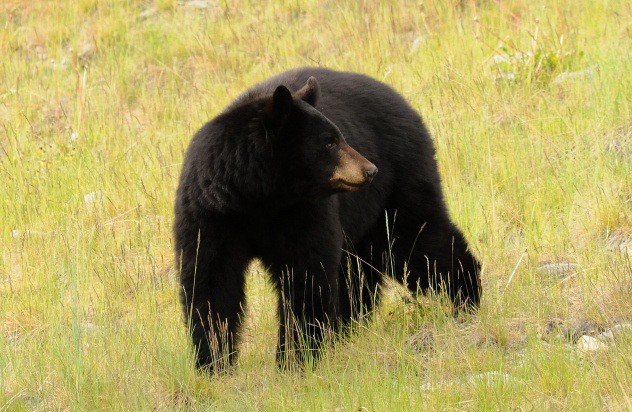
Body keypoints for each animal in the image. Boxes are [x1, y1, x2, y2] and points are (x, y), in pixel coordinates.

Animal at [173, 67, 478, 370]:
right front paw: (213, 362)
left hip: (398, 184)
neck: (261, 199)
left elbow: (306, 273)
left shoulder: (305, 211)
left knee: (417, 239)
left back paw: (467, 297)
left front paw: (295, 359)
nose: (370, 170)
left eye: (340, 136)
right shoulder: (211, 217)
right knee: (357, 272)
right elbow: (211, 281)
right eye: (329, 142)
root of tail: (402, 101)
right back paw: (346, 327)